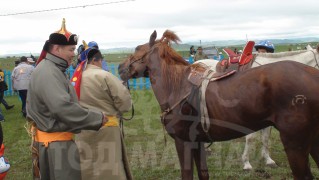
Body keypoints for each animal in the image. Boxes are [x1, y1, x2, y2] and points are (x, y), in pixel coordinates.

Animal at [118, 30, 319, 179]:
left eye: (137, 48)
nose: (120, 67)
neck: (176, 86)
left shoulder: (183, 141)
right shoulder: (197, 141)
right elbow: (203, 174)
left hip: (295, 143)